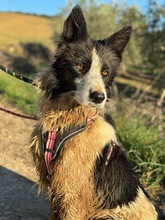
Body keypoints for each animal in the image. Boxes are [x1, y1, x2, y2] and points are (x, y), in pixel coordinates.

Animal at [30, 4, 158, 219]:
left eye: (105, 72)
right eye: (80, 66)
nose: (99, 97)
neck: (70, 120)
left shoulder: (73, 197)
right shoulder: (59, 191)